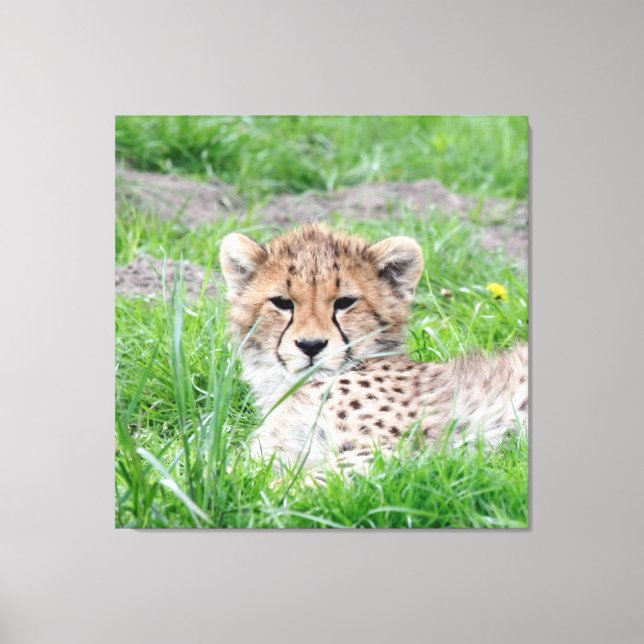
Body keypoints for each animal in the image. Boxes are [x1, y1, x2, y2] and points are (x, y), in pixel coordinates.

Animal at [219, 222, 528, 474]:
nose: (311, 346)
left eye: (345, 302)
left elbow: (296, 486)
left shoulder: (392, 452)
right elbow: (232, 476)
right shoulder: (272, 454)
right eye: (282, 303)